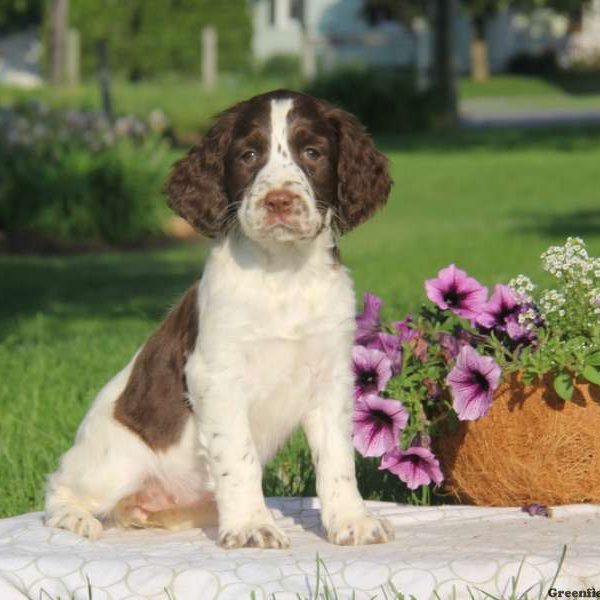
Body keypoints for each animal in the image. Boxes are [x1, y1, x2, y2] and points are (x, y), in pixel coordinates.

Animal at [45, 90, 394, 548]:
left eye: (312, 153)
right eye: (249, 155)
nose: (278, 201)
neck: (283, 274)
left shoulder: (331, 377)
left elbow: (337, 459)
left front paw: (352, 521)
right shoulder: (217, 375)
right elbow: (238, 456)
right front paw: (250, 526)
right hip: (113, 464)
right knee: (59, 487)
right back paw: (77, 518)